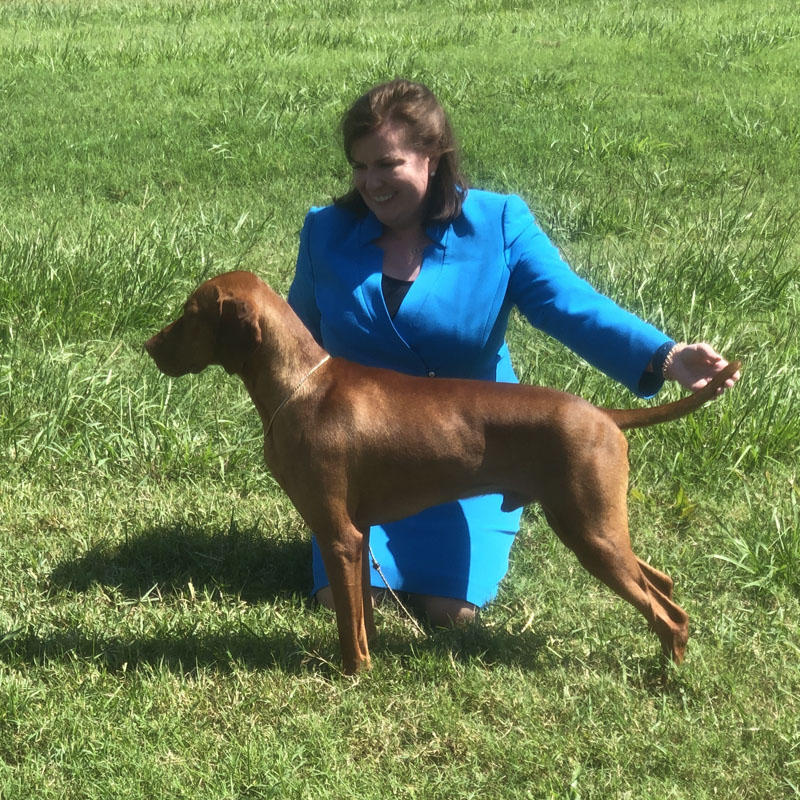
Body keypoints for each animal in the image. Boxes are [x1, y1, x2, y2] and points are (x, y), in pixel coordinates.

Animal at [145, 270, 736, 676]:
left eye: (190, 313)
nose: (147, 345)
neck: (301, 386)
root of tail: (604, 414)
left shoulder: (337, 535)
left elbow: (348, 629)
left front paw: (354, 675)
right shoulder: (359, 535)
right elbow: (361, 614)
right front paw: (372, 656)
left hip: (589, 531)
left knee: (668, 612)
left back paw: (668, 679)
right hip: (598, 528)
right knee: (663, 585)